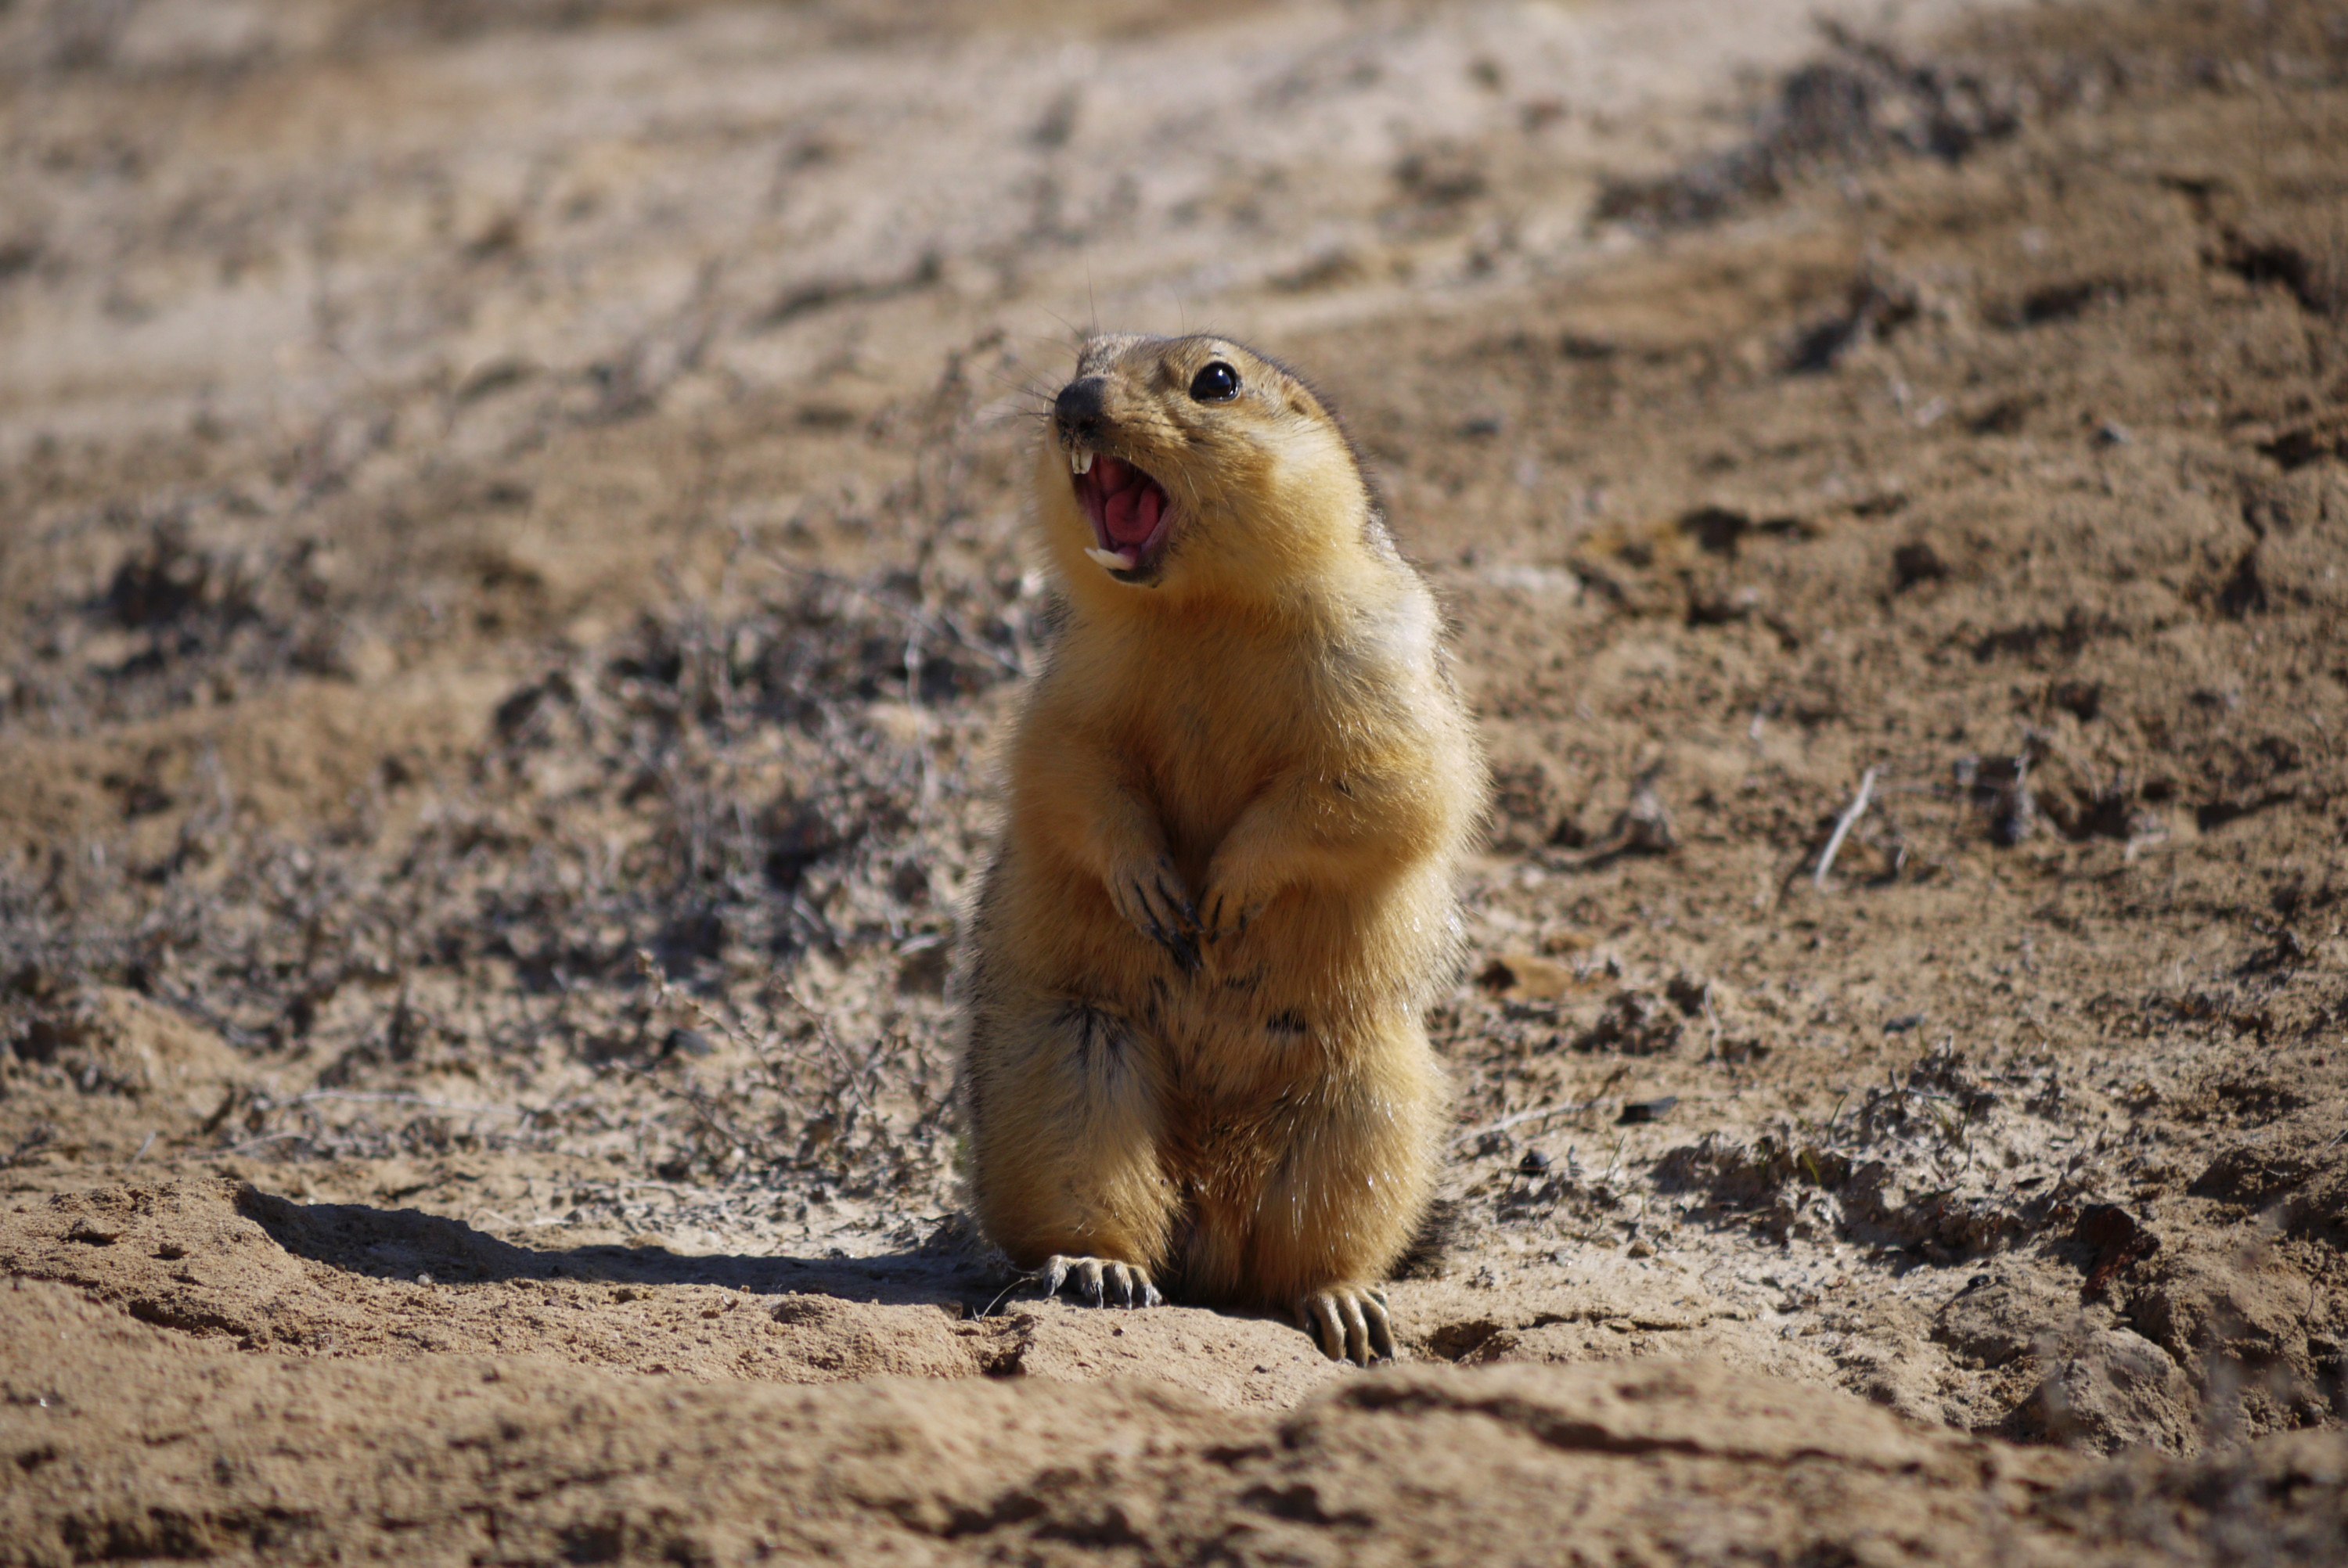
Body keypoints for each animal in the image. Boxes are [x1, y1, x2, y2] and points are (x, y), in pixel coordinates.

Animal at [958, 331, 1484, 1361]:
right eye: (1083, 356)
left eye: (1217, 380)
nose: (1074, 402)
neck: (1201, 610)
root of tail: (1210, 1209)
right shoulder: (1074, 672)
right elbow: (1069, 768)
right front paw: (1155, 891)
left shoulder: (1381, 656)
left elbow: (1374, 779)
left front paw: (1229, 895)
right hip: (1069, 1061)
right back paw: (1101, 1270)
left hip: (1365, 1099)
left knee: (1300, 1257)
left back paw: (1345, 1306)